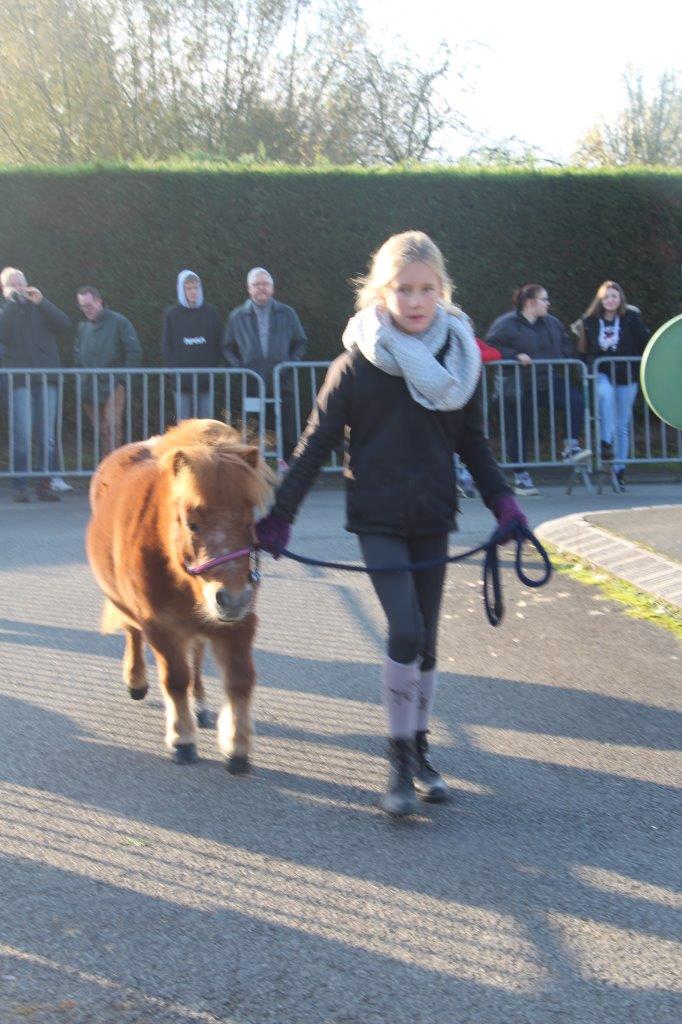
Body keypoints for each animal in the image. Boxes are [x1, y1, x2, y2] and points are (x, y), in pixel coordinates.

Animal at [86, 415, 272, 770]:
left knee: (196, 655)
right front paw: (182, 739)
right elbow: (174, 680)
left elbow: (240, 679)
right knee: (133, 633)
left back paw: (199, 705)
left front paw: (237, 745)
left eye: (249, 522)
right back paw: (136, 681)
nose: (233, 598)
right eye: (192, 523)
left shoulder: (239, 623)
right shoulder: (160, 626)